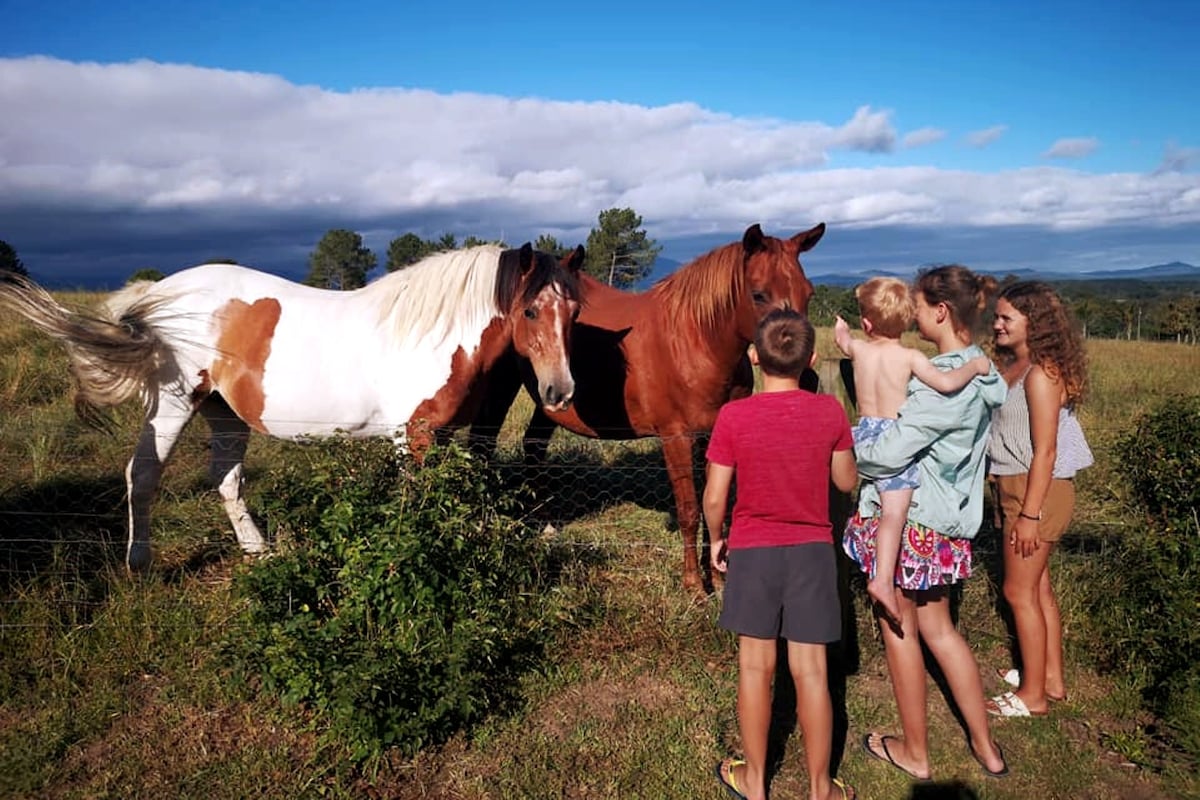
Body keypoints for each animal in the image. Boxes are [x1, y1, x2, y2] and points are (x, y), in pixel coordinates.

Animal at [0, 244, 580, 568]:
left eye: (574, 310)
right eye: (531, 310)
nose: (560, 391)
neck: (435, 333)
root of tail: (159, 295)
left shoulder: (443, 435)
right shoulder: (411, 436)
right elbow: (417, 503)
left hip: (224, 412)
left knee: (225, 479)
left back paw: (258, 550)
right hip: (173, 403)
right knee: (142, 474)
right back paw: (138, 561)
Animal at [463, 221, 820, 592]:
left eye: (808, 293)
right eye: (759, 294)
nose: (804, 374)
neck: (695, 342)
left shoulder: (714, 437)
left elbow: (715, 507)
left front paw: (720, 580)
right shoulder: (676, 437)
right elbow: (690, 510)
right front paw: (694, 585)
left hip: (551, 400)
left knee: (533, 447)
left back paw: (544, 523)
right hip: (502, 389)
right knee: (482, 446)